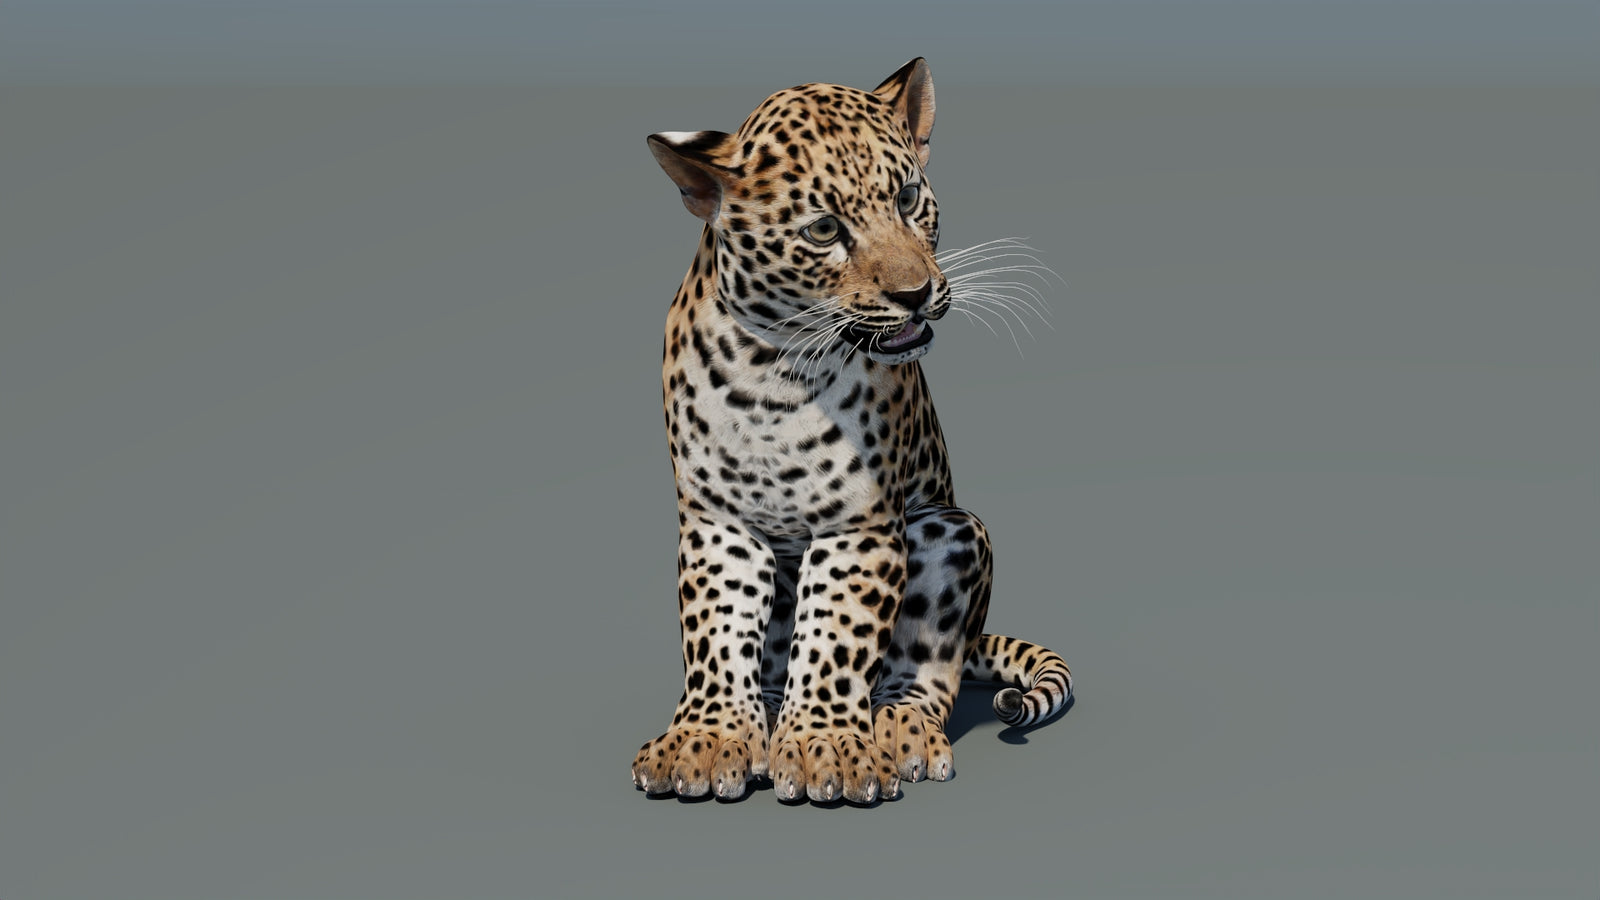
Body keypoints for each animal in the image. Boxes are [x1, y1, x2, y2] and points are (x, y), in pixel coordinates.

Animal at [631, 58, 1073, 805]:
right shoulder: (717, 521)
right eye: (822, 230)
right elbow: (717, 631)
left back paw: (897, 727)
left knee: (924, 667)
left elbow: (836, 635)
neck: (773, 372)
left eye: (907, 198)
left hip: (951, 532)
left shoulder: (857, 525)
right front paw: (709, 737)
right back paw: (767, 719)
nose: (915, 294)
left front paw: (828, 748)